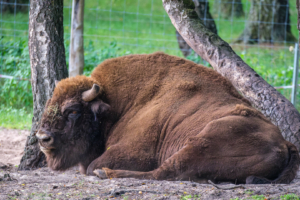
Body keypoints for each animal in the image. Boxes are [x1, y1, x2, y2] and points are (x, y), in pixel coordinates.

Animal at [36, 52, 298, 184]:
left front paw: (99, 170)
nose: (42, 138)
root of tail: (285, 142)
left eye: (73, 110)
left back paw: (107, 173)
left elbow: (91, 166)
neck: (115, 105)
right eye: (49, 104)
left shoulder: (135, 151)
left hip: (203, 142)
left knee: (166, 172)